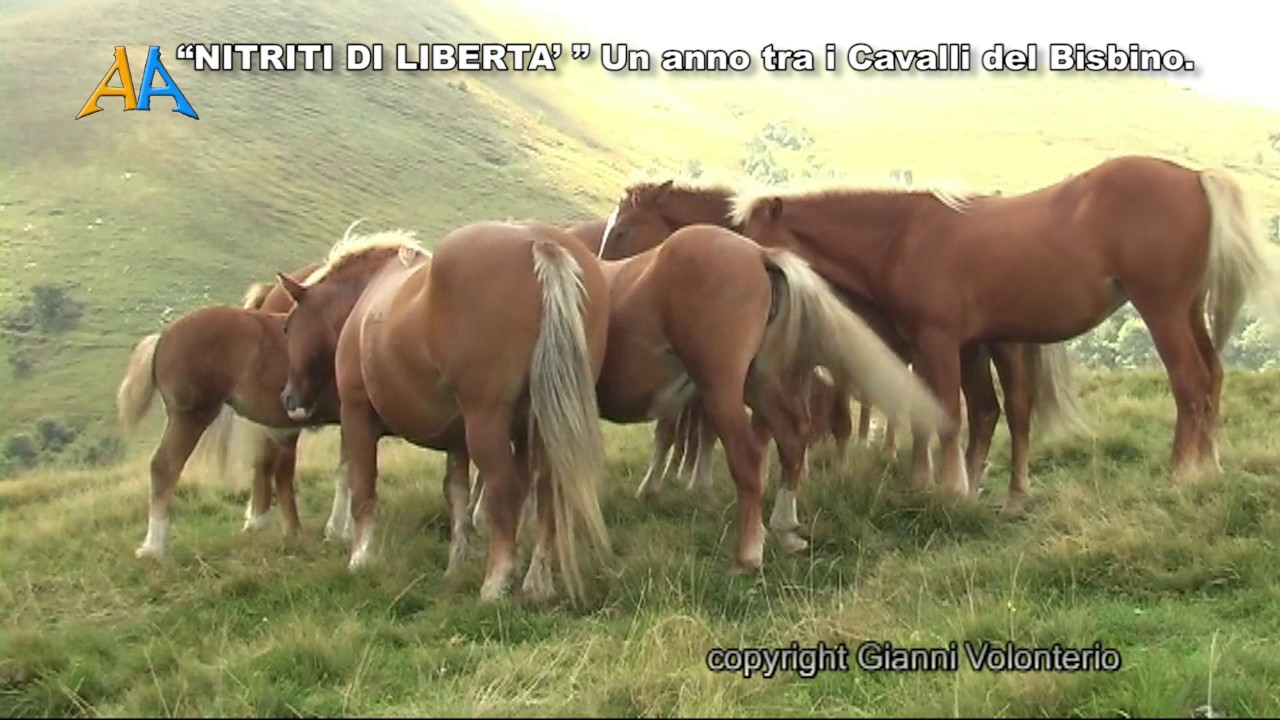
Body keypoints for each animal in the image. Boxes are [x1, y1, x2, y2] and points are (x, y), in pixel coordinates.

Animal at [274, 223, 612, 605]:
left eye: (287, 327)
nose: (288, 398)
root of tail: (541, 244)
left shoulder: (358, 417)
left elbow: (363, 489)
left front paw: (361, 558)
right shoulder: (458, 441)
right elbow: (457, 496)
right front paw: (457, 563)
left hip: (486, 423)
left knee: (504, 491)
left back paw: (496, 583)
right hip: (537, 427)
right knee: (546, 493)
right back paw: (537, 583)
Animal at [591, 222, 950, 571]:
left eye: (621, 232)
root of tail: (760, 255)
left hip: (722, 388)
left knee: (748, 456)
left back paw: (748, 554)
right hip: (759, 384)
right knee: (792, 437)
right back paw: (785, 529)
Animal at [598, 176, 1092, 512]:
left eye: (622, 231)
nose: (608, 284)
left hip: (998, 346)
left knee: (1017, 409)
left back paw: (1010, 492)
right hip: (968, 349)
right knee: (984, 409)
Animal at [728, 155, 1278, 496]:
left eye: (754, 237)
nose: (743, 286)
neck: (903, 235)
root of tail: (1195, 177)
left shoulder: (939, 341)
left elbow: (949, 413)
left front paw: (950, 488)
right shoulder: (964, 344)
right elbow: (967, 412)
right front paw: (958, 485)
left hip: (1161, 308)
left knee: (1189, 382)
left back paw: (1181, 472)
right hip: (1188, 309)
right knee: (1213, 376)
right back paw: (1209, 467)